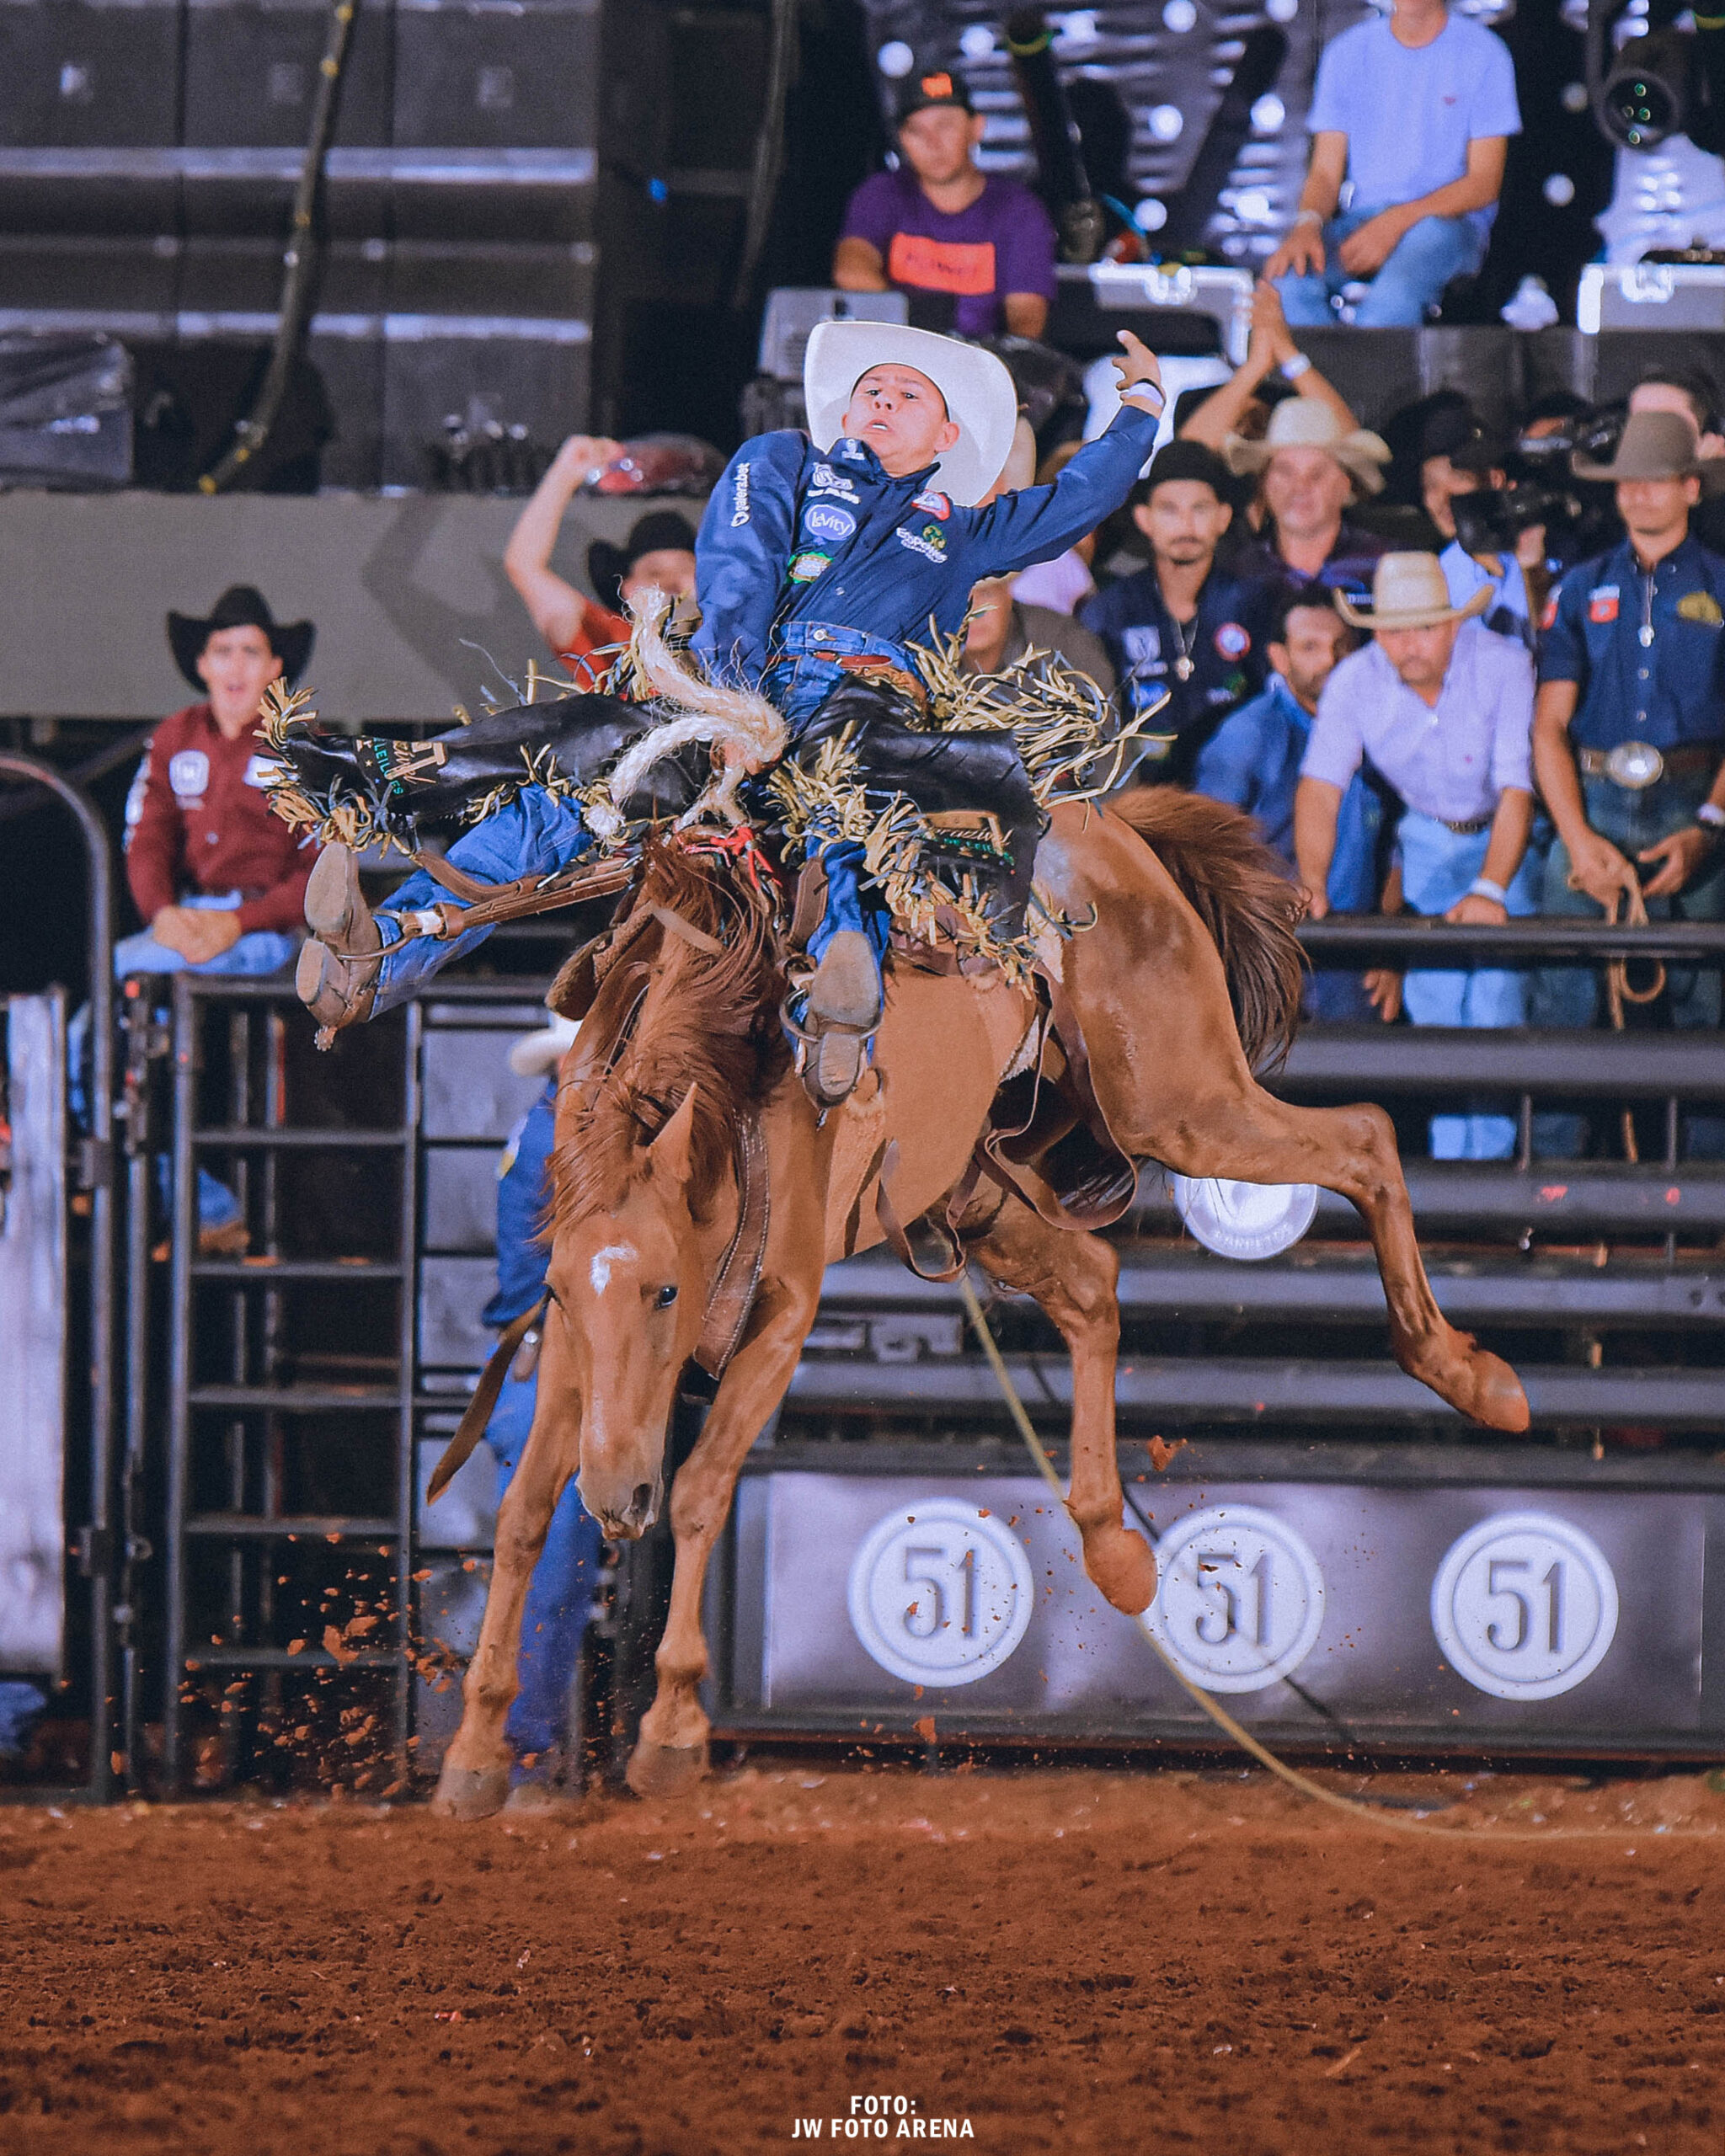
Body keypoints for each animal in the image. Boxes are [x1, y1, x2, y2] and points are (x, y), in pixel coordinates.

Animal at [426, 793, 1526, 1819]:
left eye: (665, 1289)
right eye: (559, 1290)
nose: (617, 1501)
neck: (723, 1055)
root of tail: (1107, 826)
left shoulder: (781, 1314)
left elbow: (698, 1491)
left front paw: (671, 1728)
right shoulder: (577, 1348)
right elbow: (524, 1513)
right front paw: (473, 1749)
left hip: (1180, 1104)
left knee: (1365, 1137)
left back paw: (1470, 1375)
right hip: (986, 1186)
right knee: (1093, 1289)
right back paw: (1114, 1548)